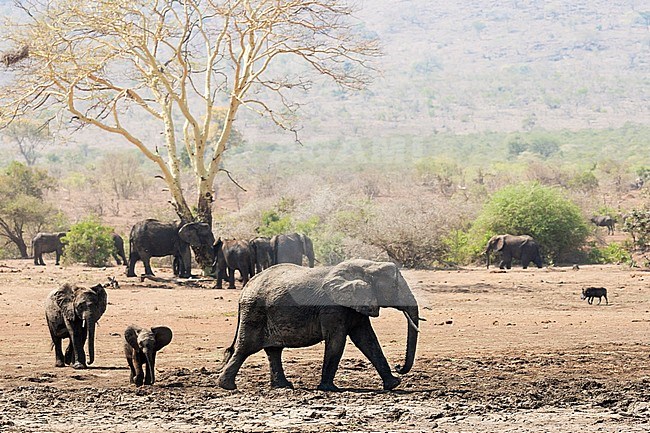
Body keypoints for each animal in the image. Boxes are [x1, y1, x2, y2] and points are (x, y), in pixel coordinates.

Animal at [216, 258, 420, 394]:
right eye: (395, 286)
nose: (399, 366)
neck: (364, 266)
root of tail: (246, 287)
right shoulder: (333, 308)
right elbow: (337, 342)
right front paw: (329, 388)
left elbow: (368, 341)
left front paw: (394, 384)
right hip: (254, 312)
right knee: (246, 348)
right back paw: (227, 386)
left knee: (273, 350)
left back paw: (283, 386)